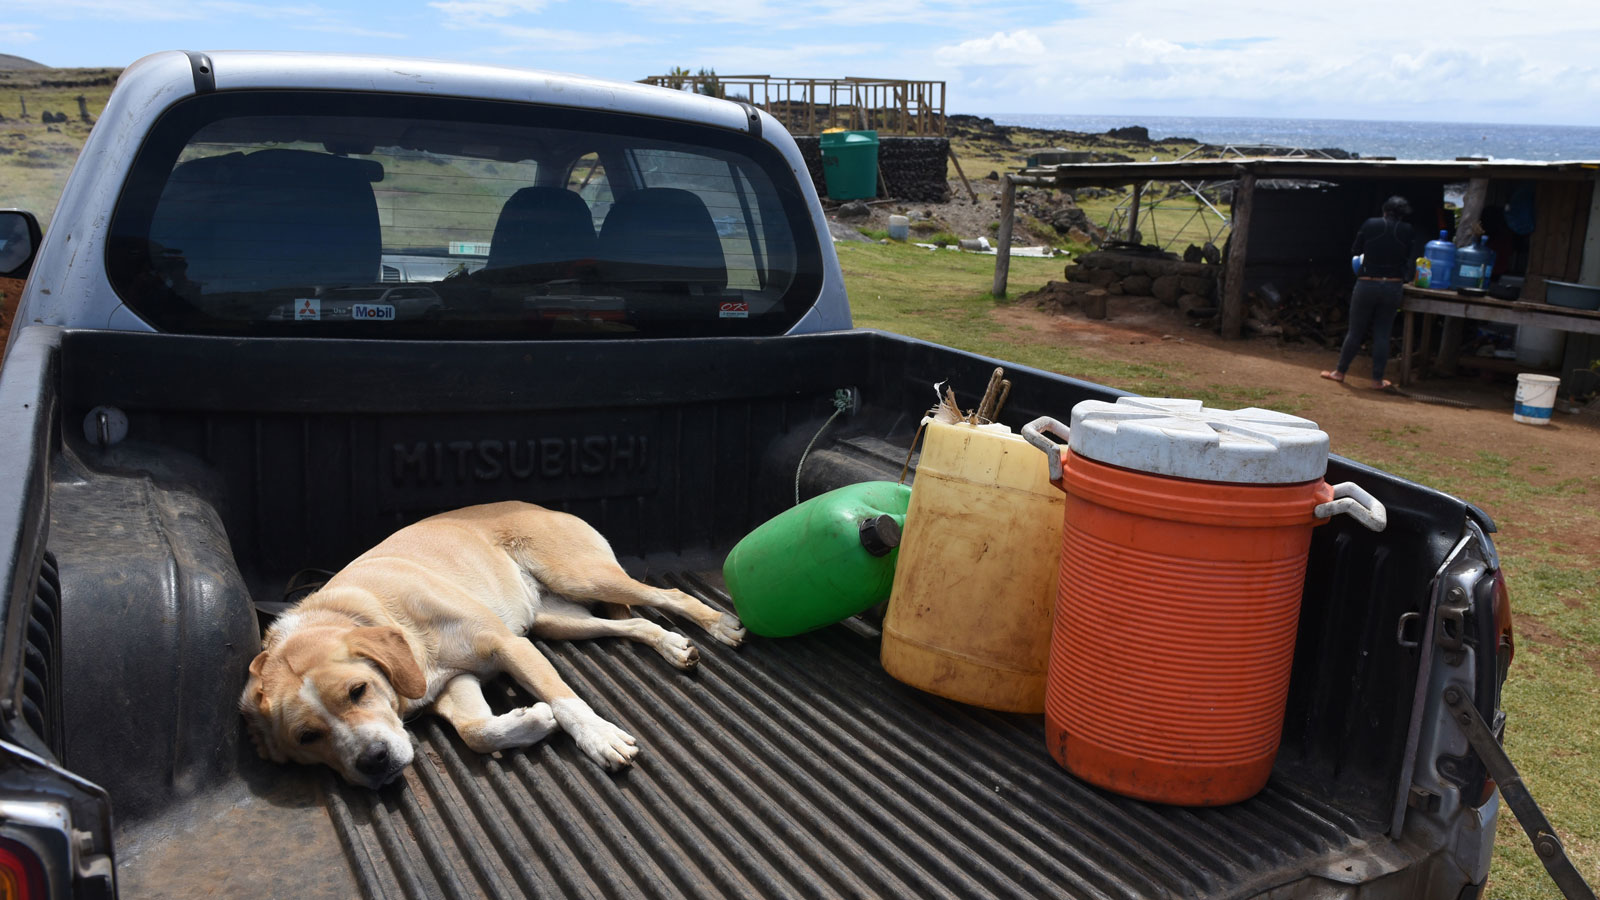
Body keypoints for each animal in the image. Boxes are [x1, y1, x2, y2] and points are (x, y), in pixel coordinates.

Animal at [238, 496, 748, 784]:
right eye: (307, 737)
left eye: (358, 690)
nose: (375, 762)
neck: (362, 611)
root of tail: (541, 507)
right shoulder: (454, 683)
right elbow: (476, 732)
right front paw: (532, 720)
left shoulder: (509, 646)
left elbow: (567, 701)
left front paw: (599, 737)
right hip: (555, 621)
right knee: (633, 625)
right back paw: (672, 646)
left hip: (582, 577)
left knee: (668, 594)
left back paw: (718, 624)